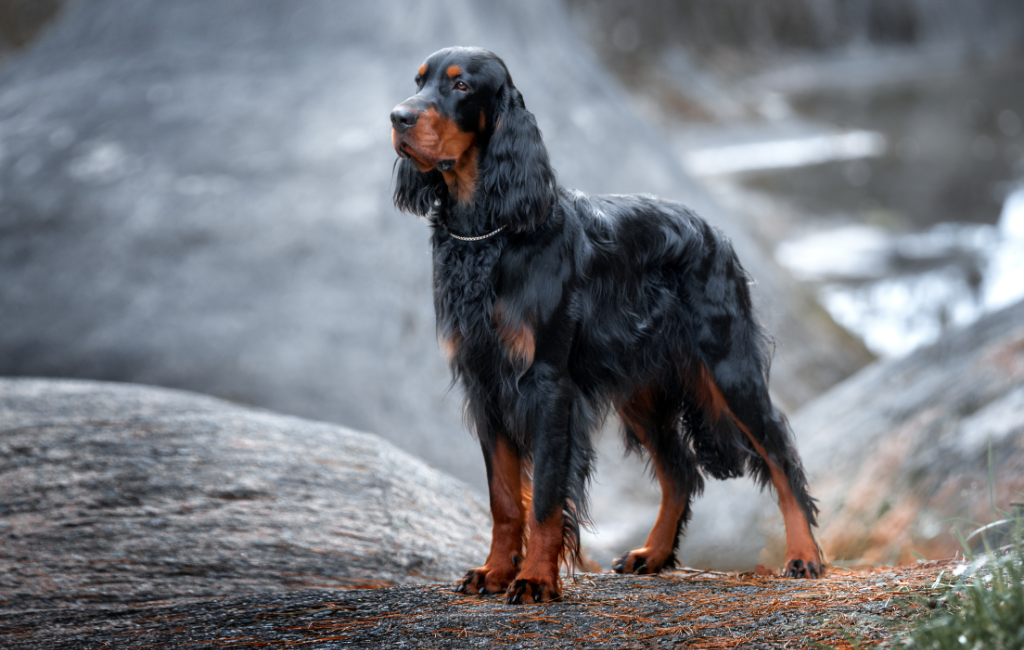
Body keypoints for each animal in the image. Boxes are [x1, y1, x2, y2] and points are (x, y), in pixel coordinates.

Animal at [387, 45, 819, 605]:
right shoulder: (485, 382)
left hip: (728, 367)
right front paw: (495, 571)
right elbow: (504, 498)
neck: (489, 233)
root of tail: (713, 230)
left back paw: (804, 555)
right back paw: (653, 554)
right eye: (419, 81)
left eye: (461, 87)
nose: (398, 117)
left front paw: (535, 579)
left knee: (780, 454)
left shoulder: (548, 384)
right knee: (680, 471)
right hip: (642, 389)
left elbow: (546, 497)